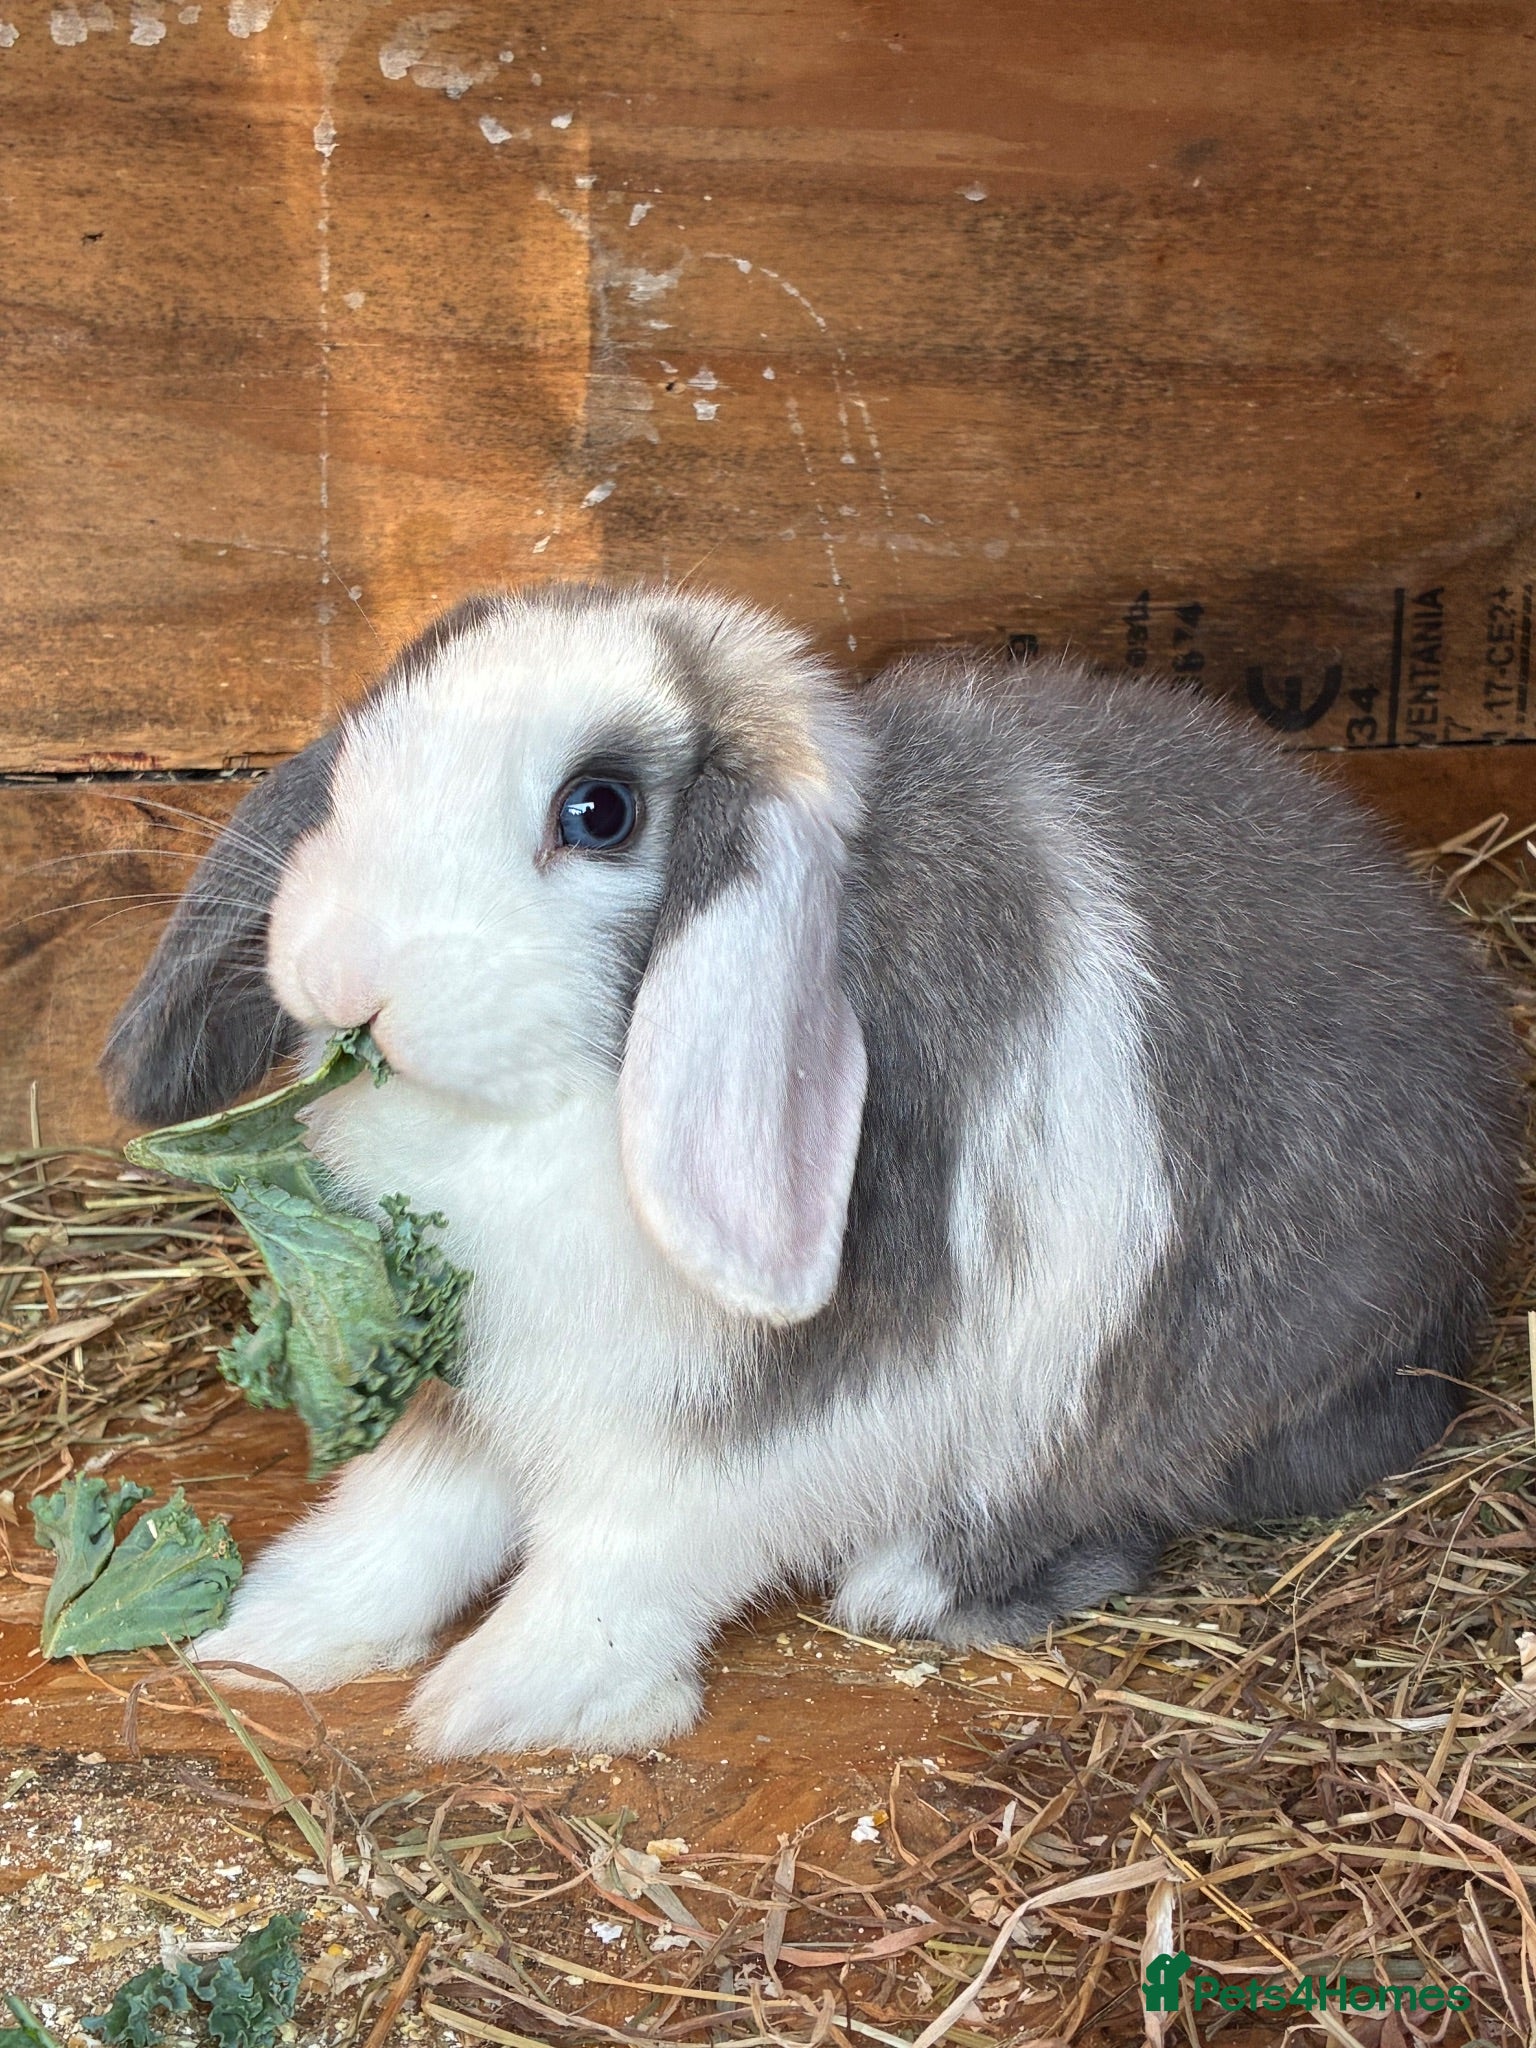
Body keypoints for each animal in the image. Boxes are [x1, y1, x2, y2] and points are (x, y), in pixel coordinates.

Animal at [102, 582, 1523, 1757]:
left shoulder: (740, 1434)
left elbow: (614, 1560)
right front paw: (275, 1632)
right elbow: (408, 1515)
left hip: (1184, 1386)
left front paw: (502, 1699)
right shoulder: (472, 1385)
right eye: (365, 750)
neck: (536, 1114)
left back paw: (911, 1578)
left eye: (598, 809)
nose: (341, 968)